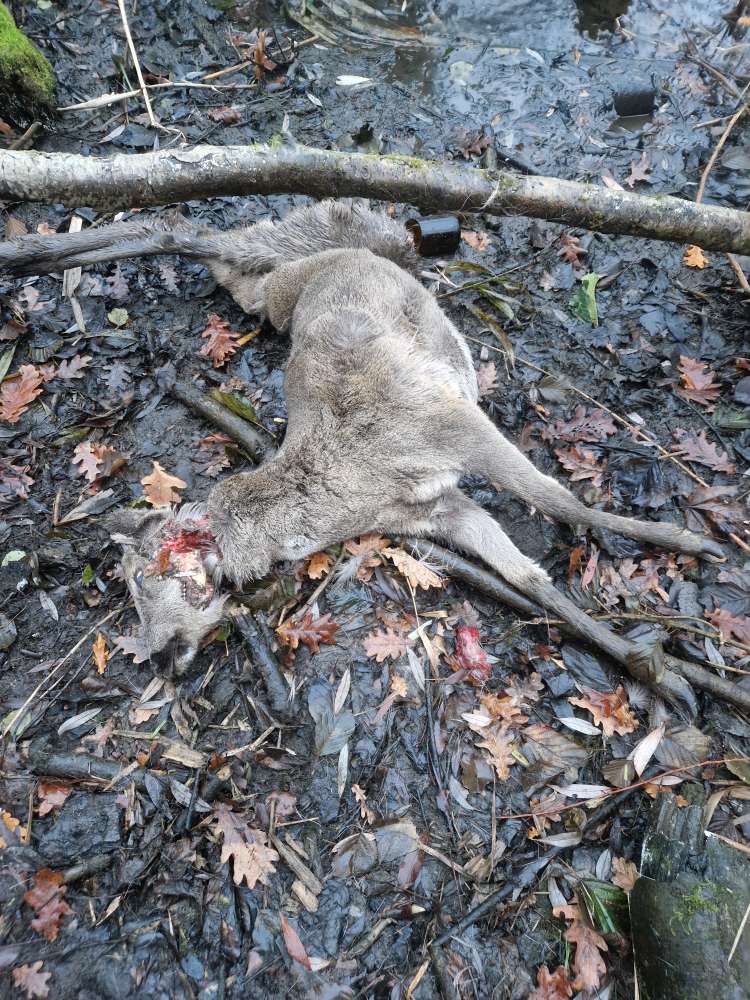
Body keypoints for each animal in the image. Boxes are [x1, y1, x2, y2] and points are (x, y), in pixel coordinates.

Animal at [1, 201, 723, 707]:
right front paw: (660, 671)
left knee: (250, 255)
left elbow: (559, 501)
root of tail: (353, 254)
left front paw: (687, 543)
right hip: (278, 300)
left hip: (307, 290)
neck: (343, 496)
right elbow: (528, 576)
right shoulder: (432, 511)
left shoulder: (455, 424)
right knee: (235, 264)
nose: (151, 657)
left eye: (145, 583)